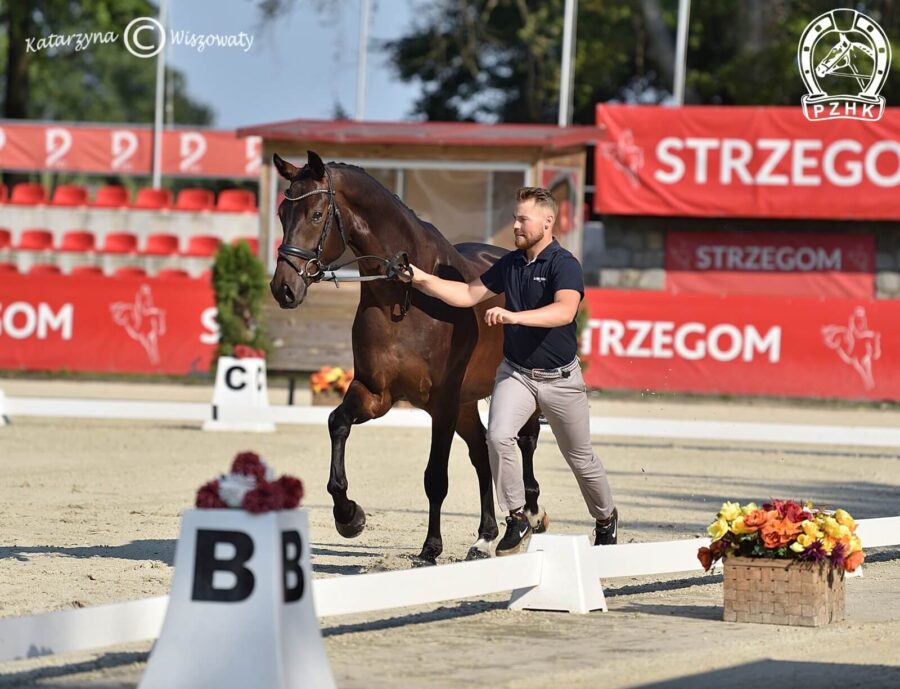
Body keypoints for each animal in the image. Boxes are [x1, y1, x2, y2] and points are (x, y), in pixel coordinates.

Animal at [270, 150, 544, 564]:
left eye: (316, 215)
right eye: (282, 213)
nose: (283, 288)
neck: (404, 297)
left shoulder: (442, 403)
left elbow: (436, 478)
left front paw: (430, 548)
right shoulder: (375, 392)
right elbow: (337, 424)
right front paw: (349, 517)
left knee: (523, 442)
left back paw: (529, 517)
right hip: (466, 403)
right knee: (481, 451)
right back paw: (484, 537)